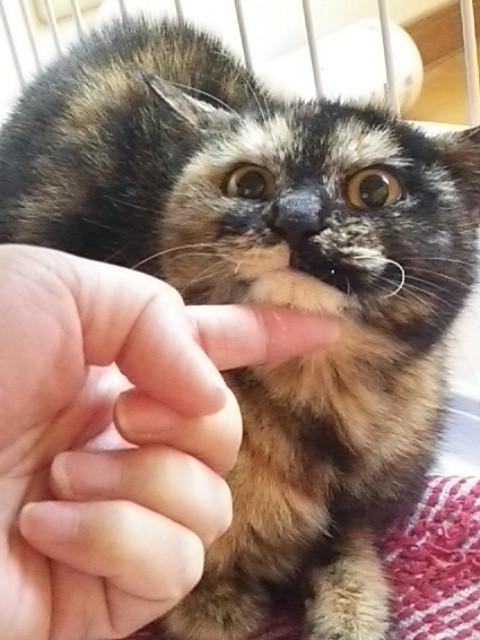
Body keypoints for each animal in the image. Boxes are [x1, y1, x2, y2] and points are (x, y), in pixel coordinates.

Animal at [1, 16, 479, 640]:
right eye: (249, 183)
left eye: (374, 190)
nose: (295, 217)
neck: (322, 397)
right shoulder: (196, 587)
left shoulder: (352, 530)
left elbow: (355, 588)